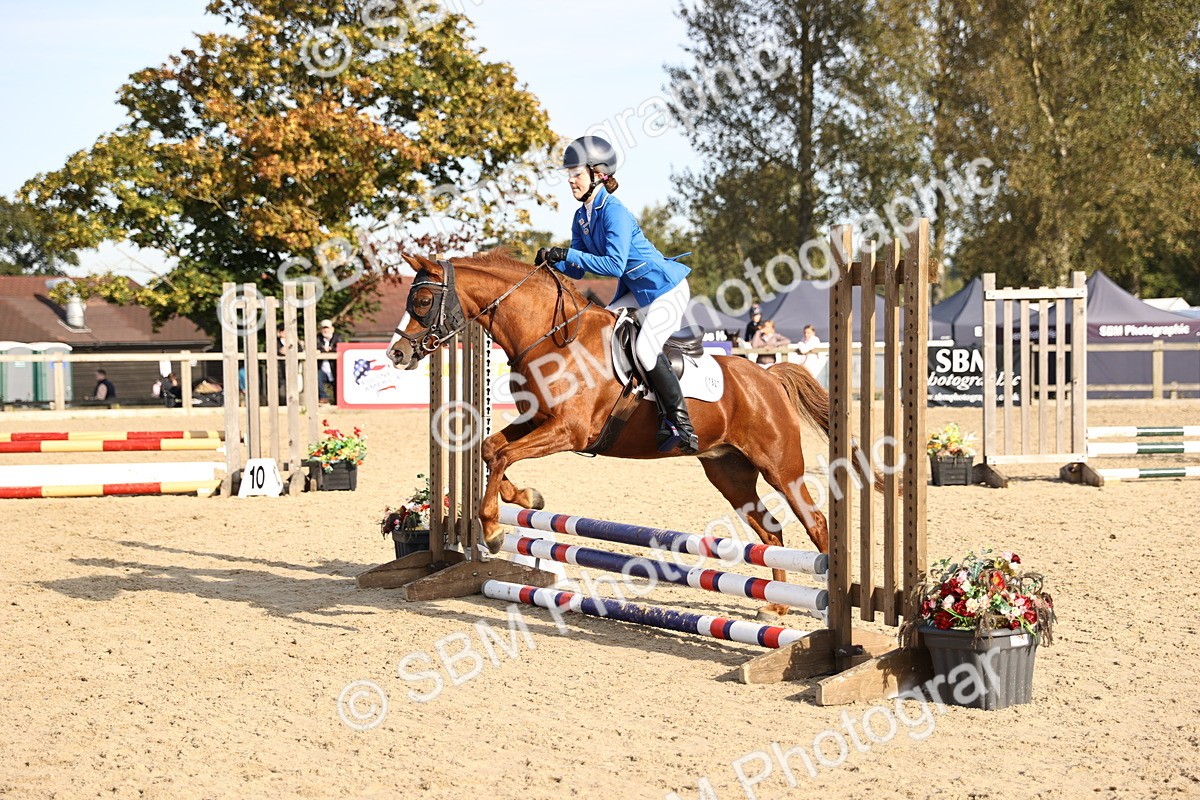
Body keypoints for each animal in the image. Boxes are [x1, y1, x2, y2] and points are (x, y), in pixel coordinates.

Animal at [389, 251, 876, 619]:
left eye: (424, 300)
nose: (396, 354)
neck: (552, 336)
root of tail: (767, 376)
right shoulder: (539, 419)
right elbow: (493, 449)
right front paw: (527, 498)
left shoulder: (569, 431)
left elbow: (503, 456)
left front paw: (491, 529)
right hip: (730, 472)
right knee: (771, 532)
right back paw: (775, 607)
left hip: (780, 465)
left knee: (815, 523)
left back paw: (831, 603)